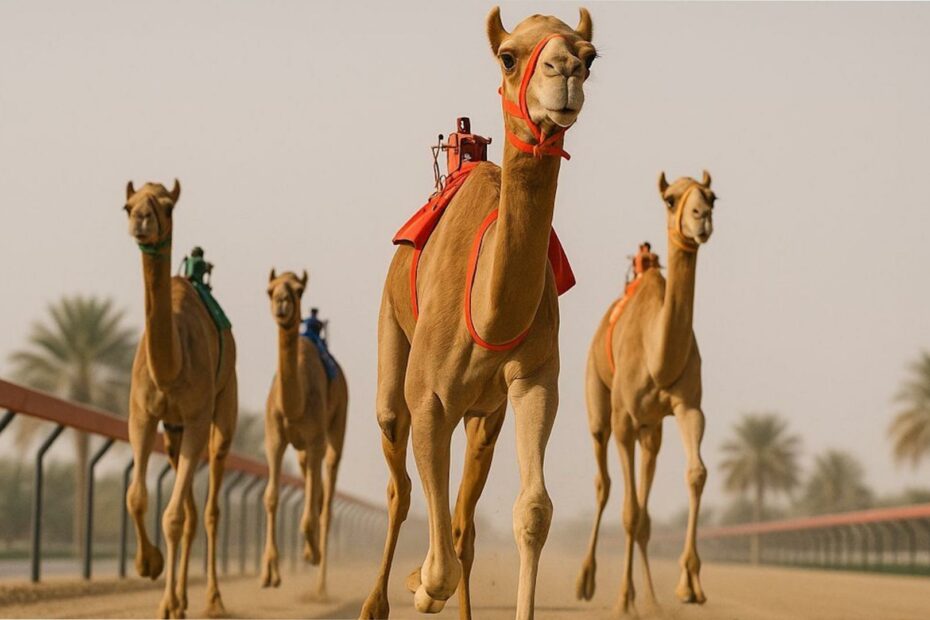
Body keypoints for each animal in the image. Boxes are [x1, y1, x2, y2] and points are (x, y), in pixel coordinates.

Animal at [123, 180, 238, 618]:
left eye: (167, 206)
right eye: (127, 205)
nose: (142, 220)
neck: (169, 369)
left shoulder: (197, 417)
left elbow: (171, 516)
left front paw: (164, 589)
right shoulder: (141, 416)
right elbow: (138, 497)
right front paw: (149, 567)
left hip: (223, 408)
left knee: (208, 510)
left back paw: (213, 599)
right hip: (172, 434)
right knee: (188, 512)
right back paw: (181, 597)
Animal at [261, 270, 348, 596]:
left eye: (298, 290)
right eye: (269, 289)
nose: (282, 303)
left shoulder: (315, 440)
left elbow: (312, 502)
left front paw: (311, 552)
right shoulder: (274, 438)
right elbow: (271, 496)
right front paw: (269, 573)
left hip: (336, 426)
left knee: (327, 490)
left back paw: (320, 582)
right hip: (300, 449)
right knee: (316, 486)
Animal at [359, 7, 597, 619]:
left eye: (590, 56)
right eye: (509, 57)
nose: (564, 72)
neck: (492, 316)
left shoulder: (534, 380)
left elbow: (531, 512)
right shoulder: (428, 398)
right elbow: (436, 555)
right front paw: (420, 584)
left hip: (484, 415)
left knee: (464, 523)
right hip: (392, 349)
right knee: (399, 489)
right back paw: (377, 601)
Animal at [575, 171, 717, 613]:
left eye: (713, 197)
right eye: (671, 199)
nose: (701, 217)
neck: (658, 359)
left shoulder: (689, 407)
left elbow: (696, 473)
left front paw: (688, 585)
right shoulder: (623, 418)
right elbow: (628, 511)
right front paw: (623, 599)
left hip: (651, 430)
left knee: (646, 508)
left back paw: (651, 597)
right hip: (599, 402)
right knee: (604, 485)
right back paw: (587, 582)